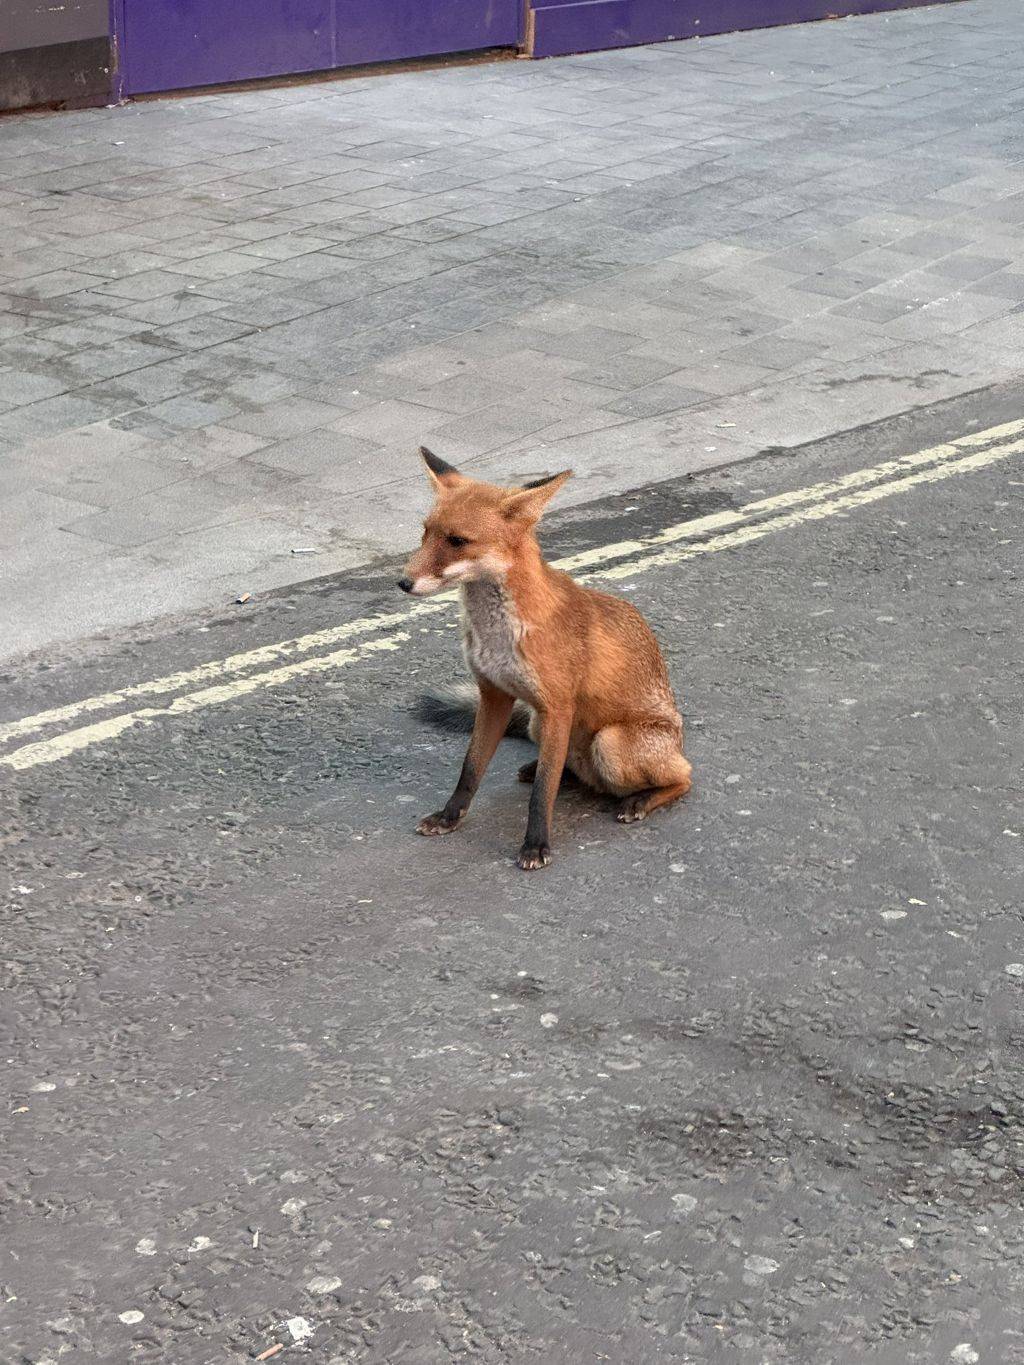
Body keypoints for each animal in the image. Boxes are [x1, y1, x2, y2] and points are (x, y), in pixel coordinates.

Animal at [395, 447, 693, 873]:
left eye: (457, 541)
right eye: (425, 532)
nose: (402, 583)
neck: (498, 637)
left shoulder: (558, 706)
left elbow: (542, 795)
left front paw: (536, 845)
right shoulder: (494, 696)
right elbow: (471, 769)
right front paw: (450, 817)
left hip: (610, 744)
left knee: (683, 777)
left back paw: (640, 800)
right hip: (538, 724)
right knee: (566, 769)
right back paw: (549, 770)